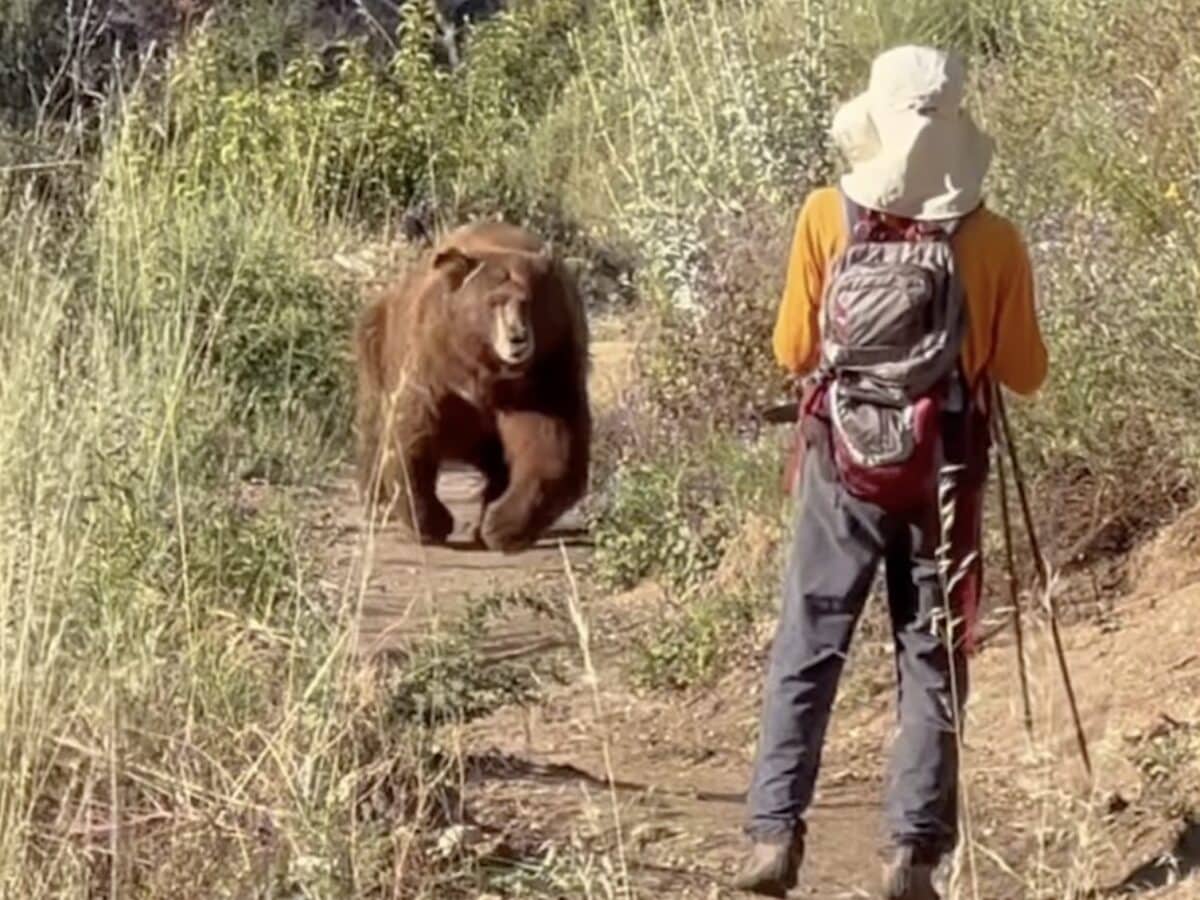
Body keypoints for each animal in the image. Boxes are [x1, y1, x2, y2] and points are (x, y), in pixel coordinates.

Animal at [353, 220, 591, 554]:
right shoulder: (433, 365)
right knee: (373, 424)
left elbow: (550, 444)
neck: (483, 363)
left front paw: (500, 526)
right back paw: (376, 500)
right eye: (494, 302)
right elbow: (411, 432)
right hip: (377, 342)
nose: (517, 338)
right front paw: (432, 522)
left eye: (528, 302)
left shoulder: (545, 371)